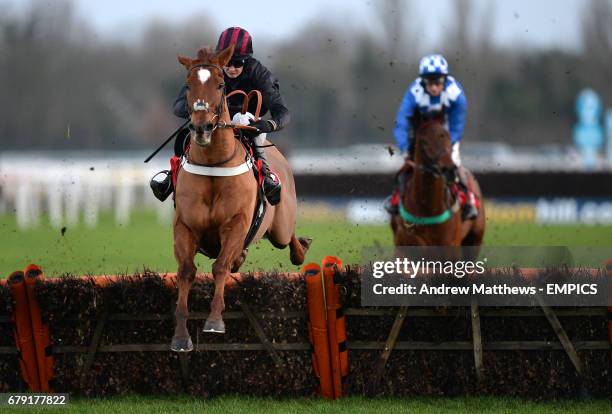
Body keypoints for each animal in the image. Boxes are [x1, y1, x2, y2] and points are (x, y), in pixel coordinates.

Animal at [171, 43, 310, 350]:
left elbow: (220, 266)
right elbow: (186, 271)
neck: (213, 165)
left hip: (280, 226)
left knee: (288, 238)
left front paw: (214, 321)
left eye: (220, 84)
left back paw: (301, 249)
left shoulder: (236, 223)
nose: (201, 128)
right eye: (187, 85)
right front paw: (181, 335)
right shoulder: (185, 226)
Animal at [390, 120, 486, 249]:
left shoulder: (450, 243)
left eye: (448, 137)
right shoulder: (407, 240)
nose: (448, 168)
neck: (427, 207)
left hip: (475, 238)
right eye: (424, 141)